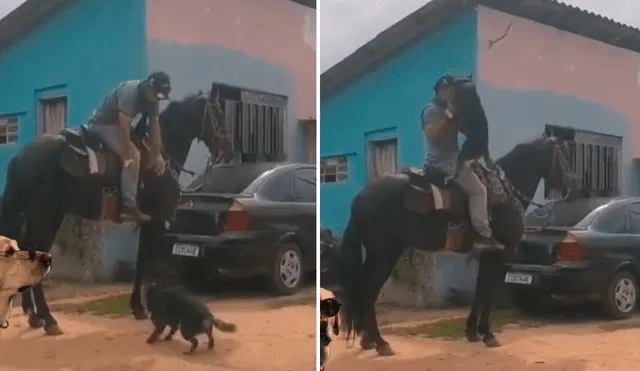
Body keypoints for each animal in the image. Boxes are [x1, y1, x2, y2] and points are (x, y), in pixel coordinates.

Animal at [0, 84, 230, 338]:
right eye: (218, 113)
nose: (226, 150)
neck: (159, 157)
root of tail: (20, 157)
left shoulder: (148, 220)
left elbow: (142, 261)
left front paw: (138, 307)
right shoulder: (157, 218)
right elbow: (149, 261)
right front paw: (144, 308)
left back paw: (33, 316)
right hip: (47, 216)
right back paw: (48, 320)